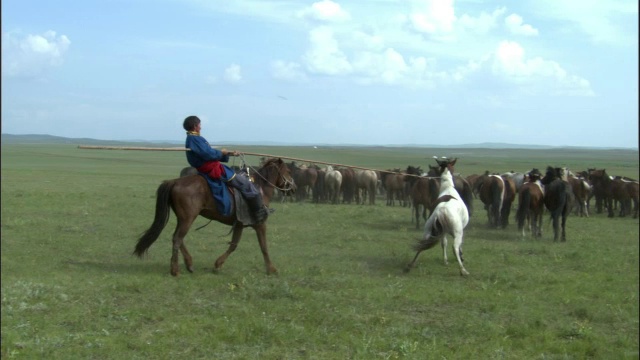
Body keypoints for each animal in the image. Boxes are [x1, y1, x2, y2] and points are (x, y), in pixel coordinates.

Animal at [136, 158, 296, 276]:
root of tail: (174, 181)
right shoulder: (260, 224)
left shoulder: (239, 224)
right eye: (288, 171)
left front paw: (218, 265)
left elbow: (233, 245)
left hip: (183, 219)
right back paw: (175, 270)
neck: (260, 188)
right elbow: (264, 247)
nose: (293, 188)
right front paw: (272, 269)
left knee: (178, 238)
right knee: (177, 238)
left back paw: (189, 264)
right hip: (188, 218)